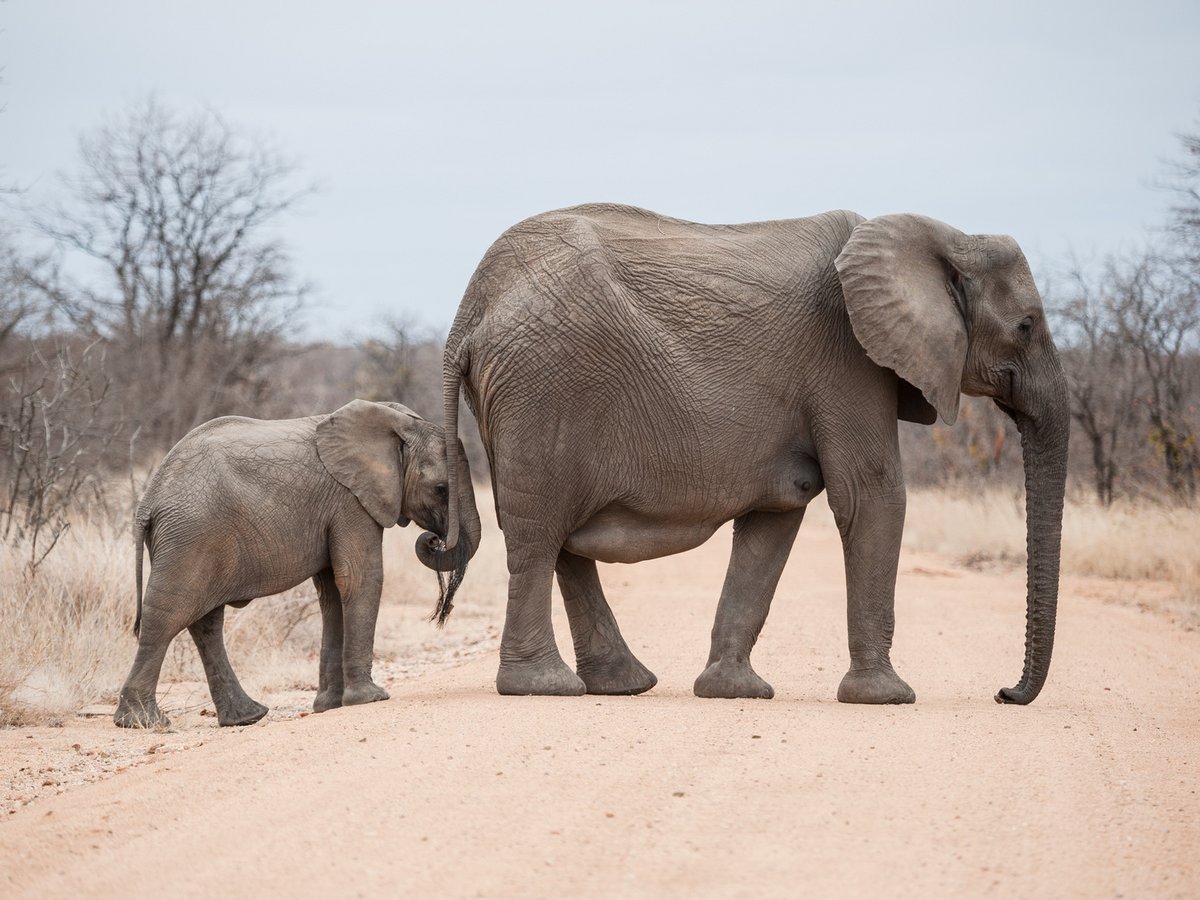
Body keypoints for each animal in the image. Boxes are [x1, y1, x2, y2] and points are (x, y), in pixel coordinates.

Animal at [113, 399, 482, 728]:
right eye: (440, 489)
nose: (433, 540)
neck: (395, 421)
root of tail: (149, 499)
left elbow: (332, 592)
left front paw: (330, 706)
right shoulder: (350, 501)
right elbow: (360, 578)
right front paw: (371, 698)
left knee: (206, 623)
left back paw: (246, 717)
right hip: (191, 534)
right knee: (168, 617)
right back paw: (143, 722)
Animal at [437, 203, 1067, 705]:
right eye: (1026, 325)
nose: (1005, 693)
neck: (942, 237)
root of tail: (467, 312)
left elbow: (778, 516)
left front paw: (733, 690)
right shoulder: (848, 359)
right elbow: (870, 494)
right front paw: (886, 698)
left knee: (560, 541)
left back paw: (622, 685)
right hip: (541, 390)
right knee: (538, 536)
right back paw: (542, 687)